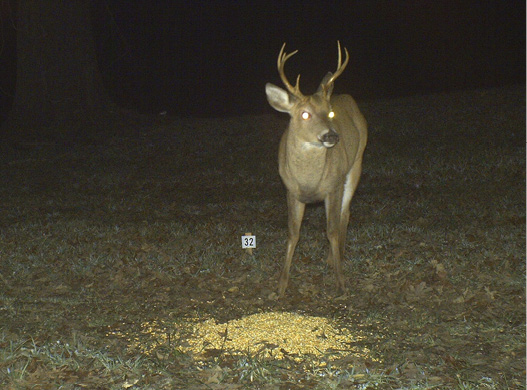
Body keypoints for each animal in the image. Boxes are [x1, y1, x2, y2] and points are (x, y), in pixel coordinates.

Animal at [266, 42, 370, 296]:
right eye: (305, 114)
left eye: (330, 113)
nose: (331, 135)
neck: (309, 181)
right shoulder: (290, 190)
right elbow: (293, 233)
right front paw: (281, 285)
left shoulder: (333, 186)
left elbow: (331, 230)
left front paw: (340, 282)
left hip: (356, 163)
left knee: (345, 212)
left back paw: (336, 257)